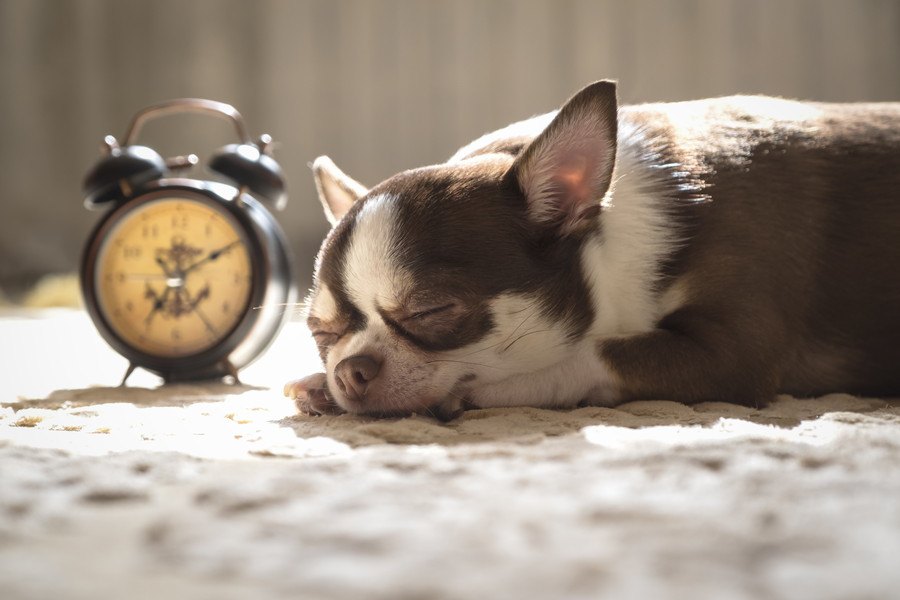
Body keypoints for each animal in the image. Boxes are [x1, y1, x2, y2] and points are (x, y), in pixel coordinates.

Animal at [286, 79, 900, 420]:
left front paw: (491, 388)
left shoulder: (737, 352)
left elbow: (593, 353)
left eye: (431, 311)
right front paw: (320, 383)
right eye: (321, 333)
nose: (349, 371)